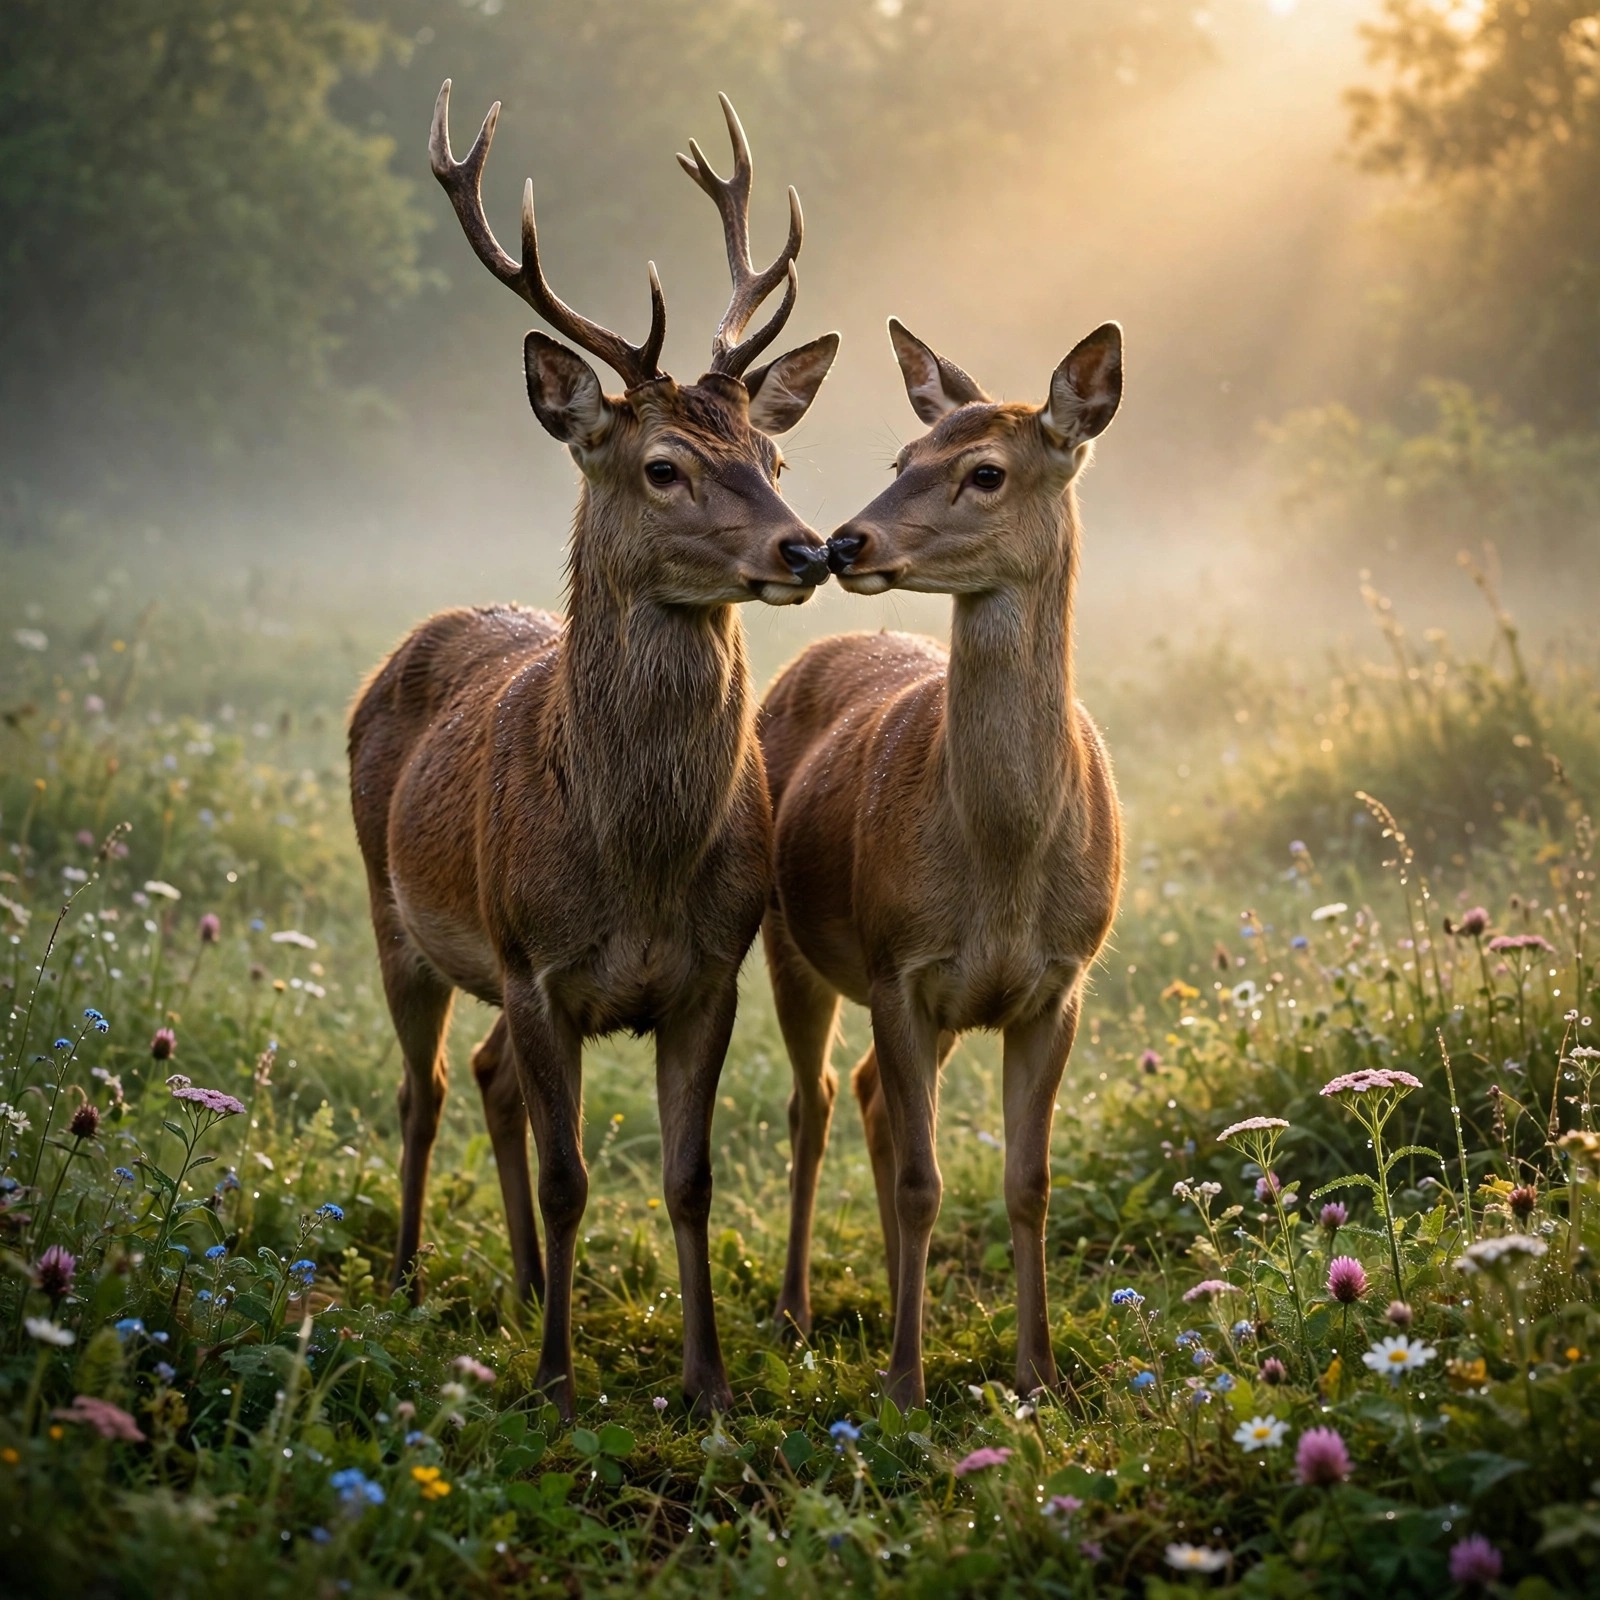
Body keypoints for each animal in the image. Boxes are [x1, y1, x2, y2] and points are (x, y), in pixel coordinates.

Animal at [348, 82, 839, 1418]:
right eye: (663, 465)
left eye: (773, 457)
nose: (807, 547)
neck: (637, 860)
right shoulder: (534, 960)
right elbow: (576, 1178)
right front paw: (561, 1387)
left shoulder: (710, 971)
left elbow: (687, 1179)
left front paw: (706, 1382)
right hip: (392, 905)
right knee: (422, 1086)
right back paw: (410, 1276)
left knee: (485, 1076)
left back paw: (521, 1285)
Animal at [757, 317, 1124, 1407]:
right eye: (902, 459)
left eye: (986, 471)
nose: (843, 542)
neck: (1000, 863)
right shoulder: (898, 963)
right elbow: (926, 1184)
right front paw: (904, 1387)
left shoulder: (1057, 983)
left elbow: (1029, 1182)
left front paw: (1042, 1377)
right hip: (786, 939)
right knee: (815, 1101)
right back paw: (796, 1311)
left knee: (871, 1094)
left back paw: (888, 1298)